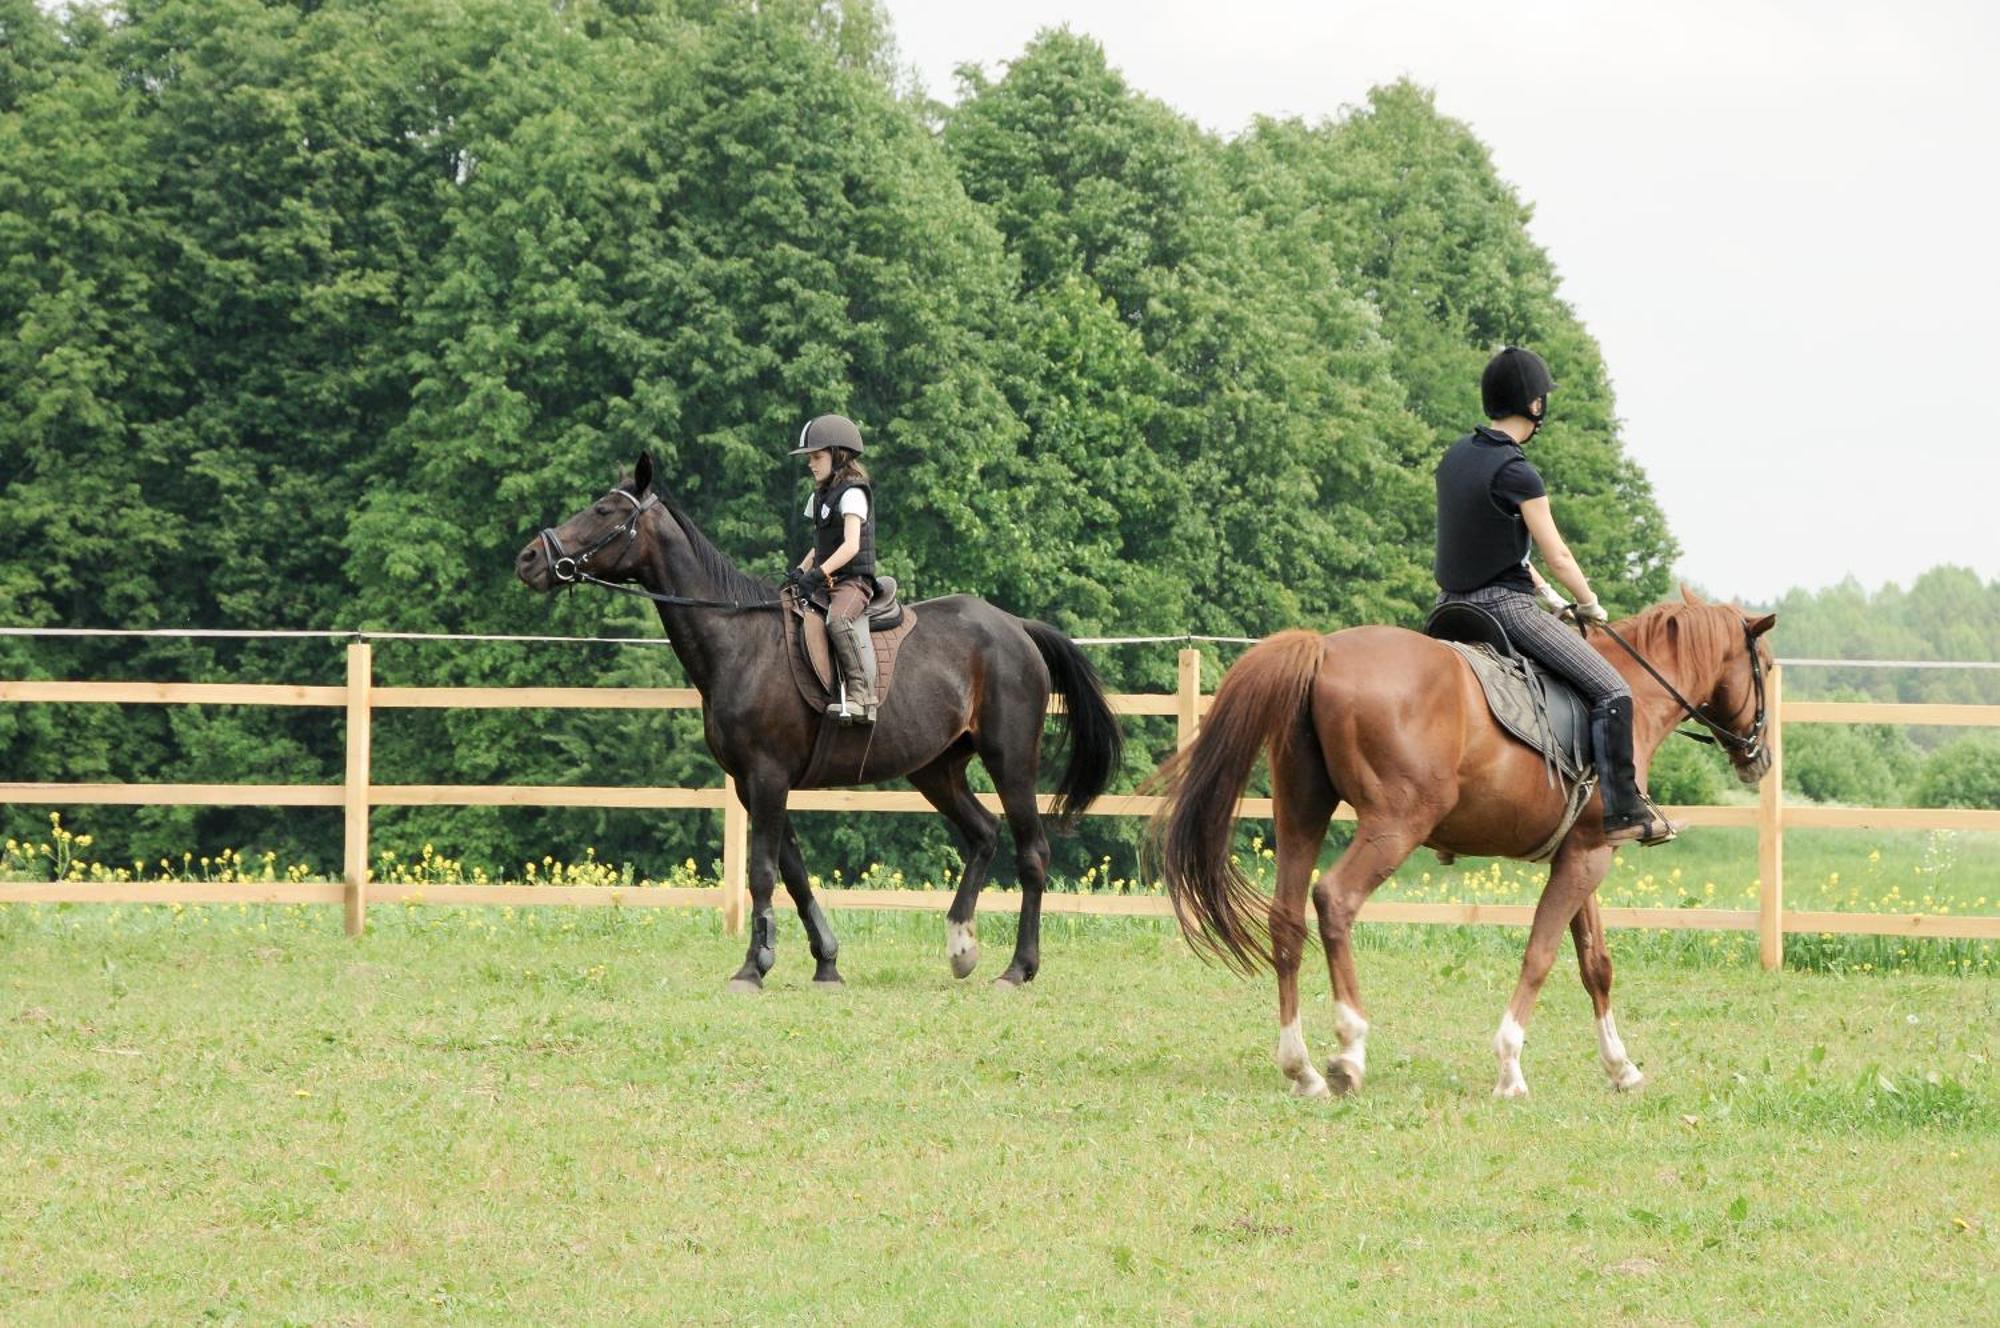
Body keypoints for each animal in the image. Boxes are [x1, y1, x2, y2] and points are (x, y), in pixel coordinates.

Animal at [520, 454, 1128, 984]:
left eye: (604, 510)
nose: (529, 558)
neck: (740, 640)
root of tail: (1015, 627)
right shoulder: (753, 783)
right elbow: (791, 870)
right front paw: (825, 962)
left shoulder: (767, 776)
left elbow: (763, 871)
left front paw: (753, 968)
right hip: (935, 768)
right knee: (982, 833)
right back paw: (961, 946)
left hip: (1010, 760)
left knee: (1032, 854)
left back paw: (1017, 968)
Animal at [1152, 592, 1776, 1096]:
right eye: (1766, 666)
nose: (1760, 756)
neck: (1633, 695)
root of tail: (1325, 650)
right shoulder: (1587, 859)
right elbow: (1540, 954)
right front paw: (1510, 1067)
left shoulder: (1583, 854)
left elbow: (1594, 963)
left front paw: (1621, 1068)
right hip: (1395, 824)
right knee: (1334, 900)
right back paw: (1350, 1050)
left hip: (1302, 813)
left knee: (1285, 920)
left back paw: (1300, 1068)